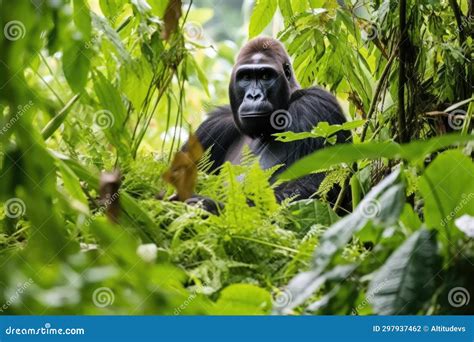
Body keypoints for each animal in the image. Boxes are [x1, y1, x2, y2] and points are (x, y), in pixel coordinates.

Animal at [187, 35, 350, 206]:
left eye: (265, 76)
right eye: (246, 77)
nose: (253, 96)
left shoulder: (315, 105)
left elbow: (320, 183)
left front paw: (211, 206)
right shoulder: (214, 124)